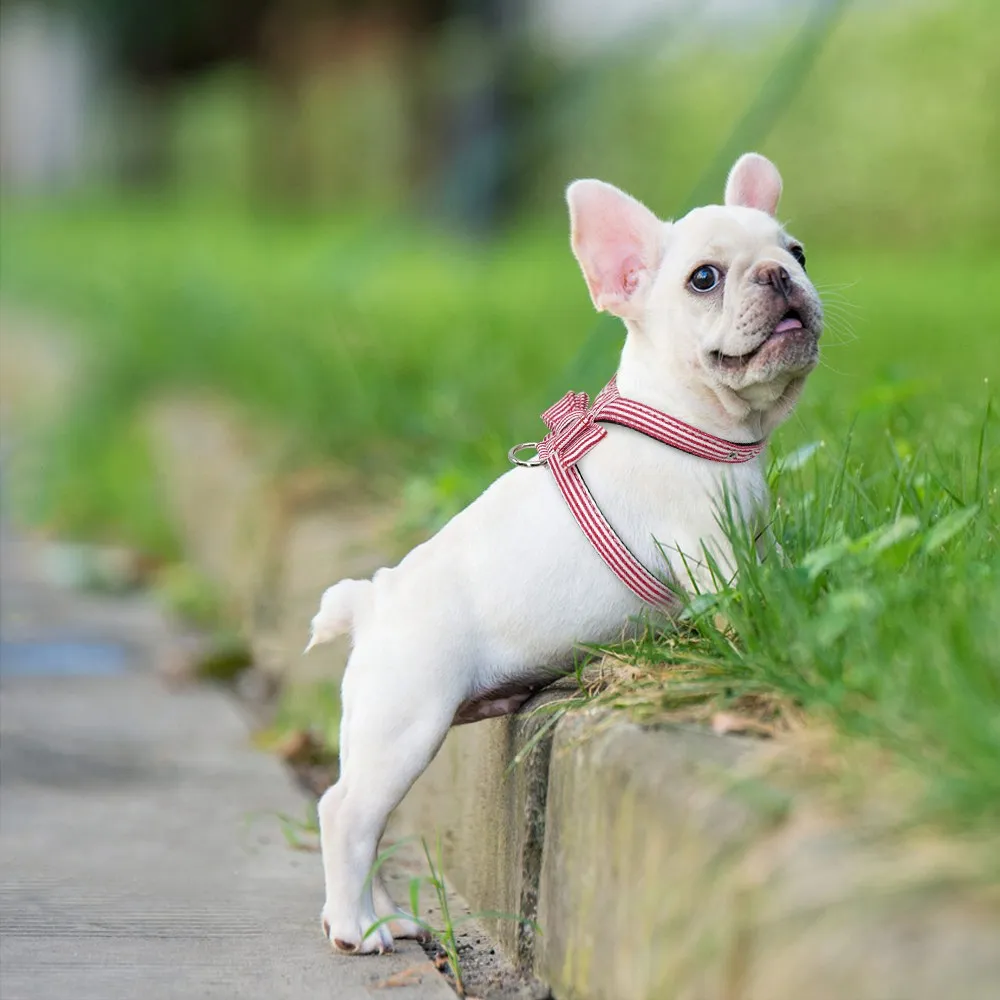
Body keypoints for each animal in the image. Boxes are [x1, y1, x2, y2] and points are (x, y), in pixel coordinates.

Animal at [306, 152, 820, 956]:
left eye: (797, 252)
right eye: (704, 278)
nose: (779, 275)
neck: (687, 423)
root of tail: (374, 598)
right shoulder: (709, 549)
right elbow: (743, 604)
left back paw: (376, 914)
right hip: (406, 718)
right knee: (347, 812)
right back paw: (358, 928)